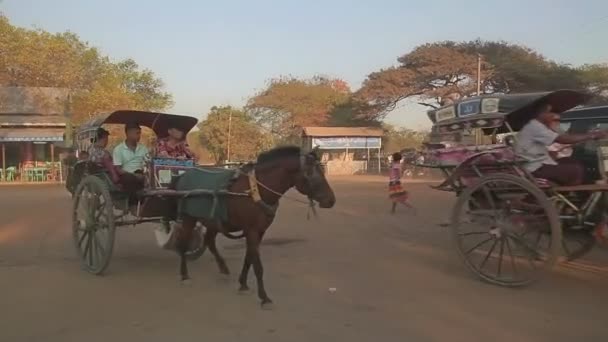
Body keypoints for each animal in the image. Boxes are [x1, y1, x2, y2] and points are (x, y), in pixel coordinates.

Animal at [169, 146, 334, 306]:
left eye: (322, 170)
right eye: (311, 173)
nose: (331, 200)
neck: (256, 190)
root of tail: (182, 176)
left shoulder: (259, 231)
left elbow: (249, 258)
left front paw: (243, 284)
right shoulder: (252, 231)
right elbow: (258, 265)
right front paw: (264, 297)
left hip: (212, 221)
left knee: (209, 241)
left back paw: (223, 268)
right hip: (188, 218)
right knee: (183, 243)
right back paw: (184, 275)